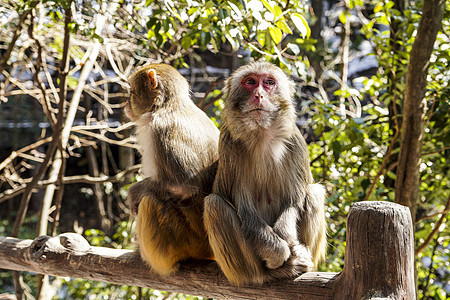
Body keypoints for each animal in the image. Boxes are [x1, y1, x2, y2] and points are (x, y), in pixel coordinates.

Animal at [125, 63, 220, 276]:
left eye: (132, 91)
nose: (126, 103)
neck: (166, 107)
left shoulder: (161, 132)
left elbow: (186, 187)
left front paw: (134, 192)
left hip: (190, 242)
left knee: (150, 202)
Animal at [204, 61, 326, 286]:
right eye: (250, 82)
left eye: (269, 82)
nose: (259, 95)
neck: (262, 134)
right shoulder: (229, 145)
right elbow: (245, 211)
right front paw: (278, 253)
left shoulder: (295, 143)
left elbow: (294, 202)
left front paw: (289, 240)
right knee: (215, 205)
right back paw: (274, 272)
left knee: (314, 193)